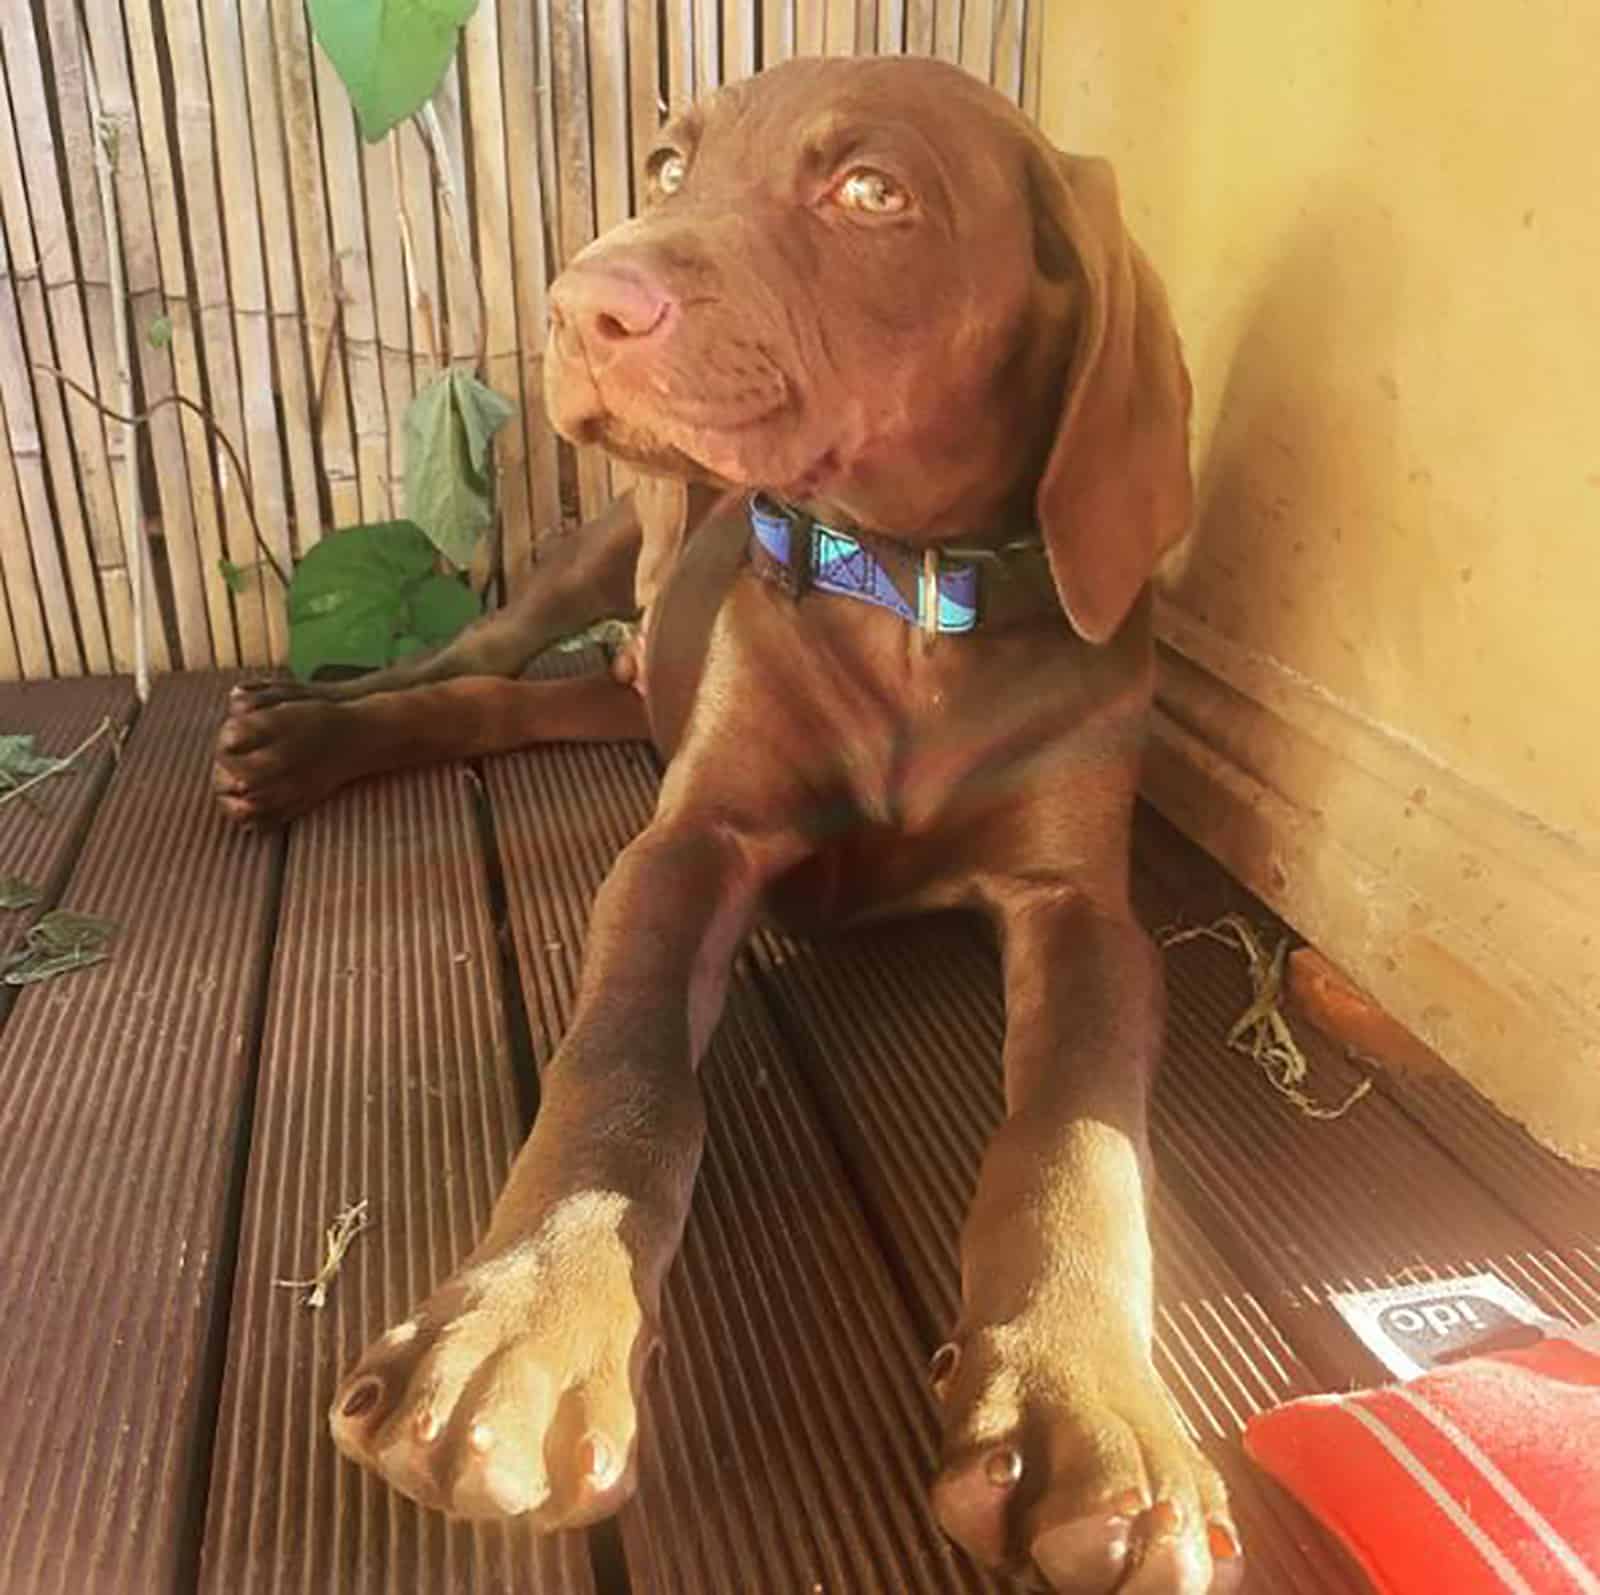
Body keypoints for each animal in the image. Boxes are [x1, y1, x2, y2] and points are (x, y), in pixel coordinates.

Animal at [233, 52, 1235, 1593]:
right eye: (664, 166)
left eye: (872, 190)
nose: (580, 304)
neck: (906, 587)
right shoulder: (689, 844)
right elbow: (623, 1064)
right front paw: (521, 1329)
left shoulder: (1083, 911)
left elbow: (1076, 1140)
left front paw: (1087, 1409)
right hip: (589, 555)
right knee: (464, 666)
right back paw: (299, 733)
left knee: (529, 700)